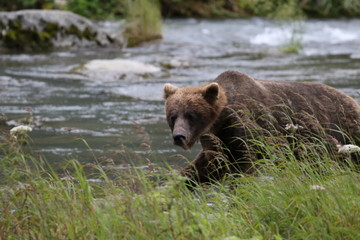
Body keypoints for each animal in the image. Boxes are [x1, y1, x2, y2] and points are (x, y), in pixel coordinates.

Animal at [165, 70, 360, 185]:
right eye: (173, 116)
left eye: (191, 115)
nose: (179, 136)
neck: (219, 121)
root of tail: (351, 99)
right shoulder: (217, 141)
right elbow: (206, 167)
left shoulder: (244, 129)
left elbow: (245, 166)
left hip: (341, 131)